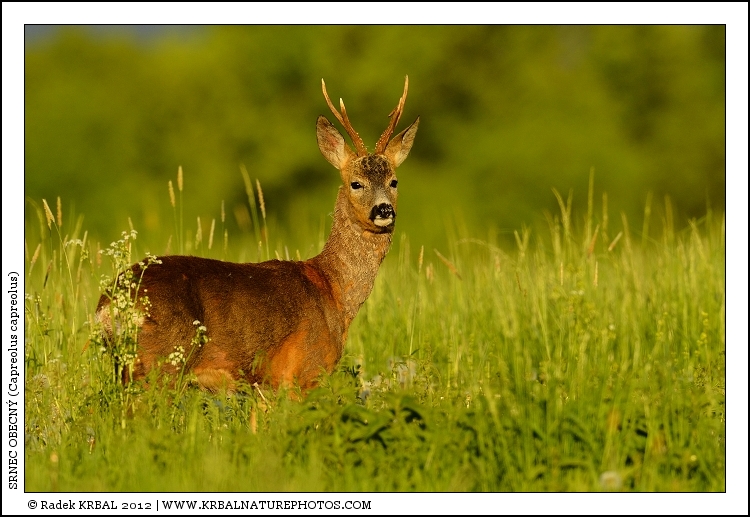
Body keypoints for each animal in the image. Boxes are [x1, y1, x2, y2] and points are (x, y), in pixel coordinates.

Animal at [96, 77, 419, 394]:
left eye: (394, 181)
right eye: (356, 183)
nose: (383, 209)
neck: (333, 290)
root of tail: (109, 304)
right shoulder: (300, 373)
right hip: (161, 361)